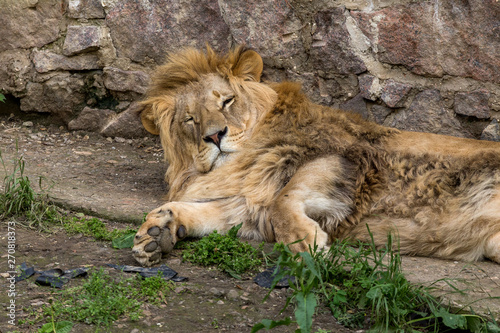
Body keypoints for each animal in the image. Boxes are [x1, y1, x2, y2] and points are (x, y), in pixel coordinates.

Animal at [132, 45, 500, 266]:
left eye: (227, 101)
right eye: (190, 119)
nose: (214, 135)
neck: (238, 166)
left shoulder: (343, 156)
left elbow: (284, 200)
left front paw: (306, 244)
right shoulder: (247, 206)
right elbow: (200, 212)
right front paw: (156, 231)